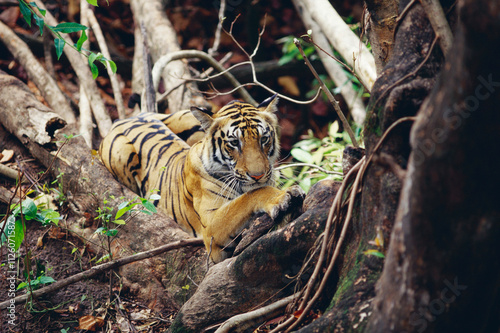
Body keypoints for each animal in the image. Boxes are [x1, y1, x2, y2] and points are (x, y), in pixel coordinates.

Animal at [99, 95, 304, 262]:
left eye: (263, 139)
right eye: (234, 142)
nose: (257, 175)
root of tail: (125, 118)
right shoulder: (211, 228)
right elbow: (249, 197)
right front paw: (282, 196)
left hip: (186, 118)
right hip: (121, 153)